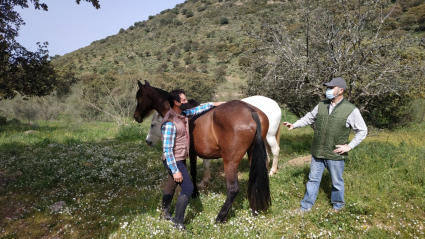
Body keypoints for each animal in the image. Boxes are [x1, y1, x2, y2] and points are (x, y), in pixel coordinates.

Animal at [134, 80, 270, 222]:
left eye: (138, 97)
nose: (136, 116)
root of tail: (251, 111)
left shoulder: (190, 154)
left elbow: (192, 172)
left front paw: (194, 193)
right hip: (253, 155)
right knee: (255, 181)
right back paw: (254, 211)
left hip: (230, 161)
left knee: (233, 189)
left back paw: (220, 217)